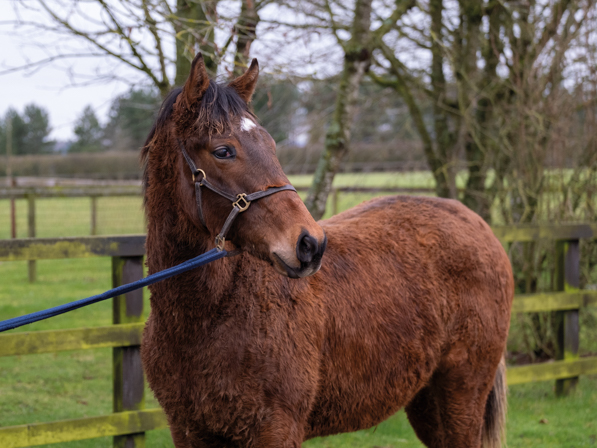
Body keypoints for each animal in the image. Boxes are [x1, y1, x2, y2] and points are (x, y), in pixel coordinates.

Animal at [140, 53, 512, 448]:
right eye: (223, 150)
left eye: (271, 145)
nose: (310, 244)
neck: (210, 317)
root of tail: (472, 221)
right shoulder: (188, 431)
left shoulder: (276, 429)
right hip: (428, 404)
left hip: (461, 396)